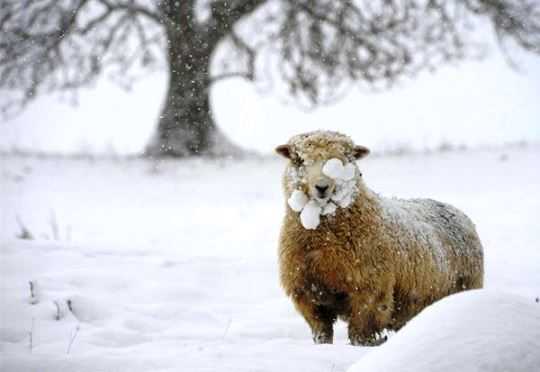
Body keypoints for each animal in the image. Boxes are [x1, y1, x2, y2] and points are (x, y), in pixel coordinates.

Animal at [276, 131, 484, 346]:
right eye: (299, 159)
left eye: (344, 159)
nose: (322, 187)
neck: (325, 243)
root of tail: (459, 213)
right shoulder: (306, 291)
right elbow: (322, 331)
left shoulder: (371, 289)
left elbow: (360, 330)